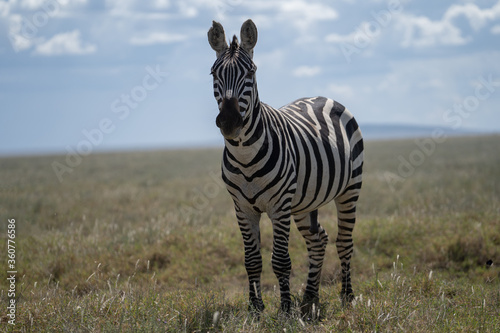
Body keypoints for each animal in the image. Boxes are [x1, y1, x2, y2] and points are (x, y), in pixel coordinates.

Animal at [207, 19, 364, 312]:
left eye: (251, 72)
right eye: (214, 73)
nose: (229, 122)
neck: (245, 155)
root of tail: (322, 96)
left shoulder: (279, 206)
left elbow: (280, 261)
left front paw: (285, 309)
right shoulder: (242, 208)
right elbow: (251, 260)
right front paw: (255, 309)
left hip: (350, 188)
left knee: (344, 242)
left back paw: (347, 296)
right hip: (303, 203)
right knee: (318, 240)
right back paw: (310, 297)